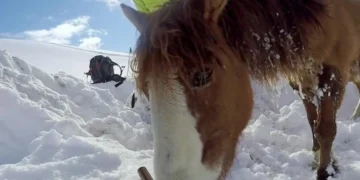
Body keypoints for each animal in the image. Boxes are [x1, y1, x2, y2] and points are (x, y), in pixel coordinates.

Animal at [120, 0, 360, 179]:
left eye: (202, 75)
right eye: (146, 89)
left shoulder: (333, 70)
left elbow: (325, 128)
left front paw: (326, 171)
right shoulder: (302, 76)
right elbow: (313, 121)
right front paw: (317, 158)